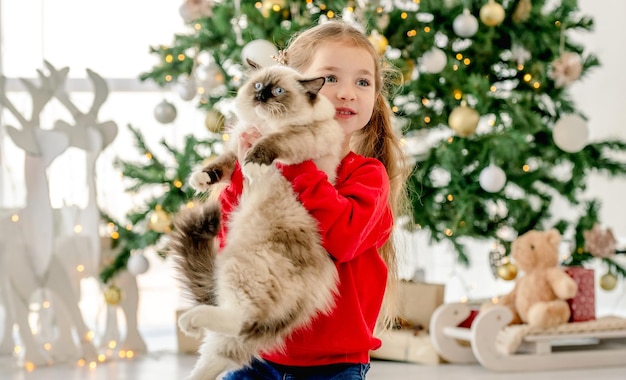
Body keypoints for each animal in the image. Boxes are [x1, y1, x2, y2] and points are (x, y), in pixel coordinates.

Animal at [168, 60, 344, 378]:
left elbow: (270, 144)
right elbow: (223, 163)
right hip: (231, 327)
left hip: (241, 267)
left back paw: (188, 321)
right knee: (224, 345)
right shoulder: (237, 141)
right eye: (259, 86)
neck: (265, 123)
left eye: (278, 92)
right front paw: (200, 179)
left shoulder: (303, 136)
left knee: (240, 318)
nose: (262, 97)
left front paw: (255, 164)